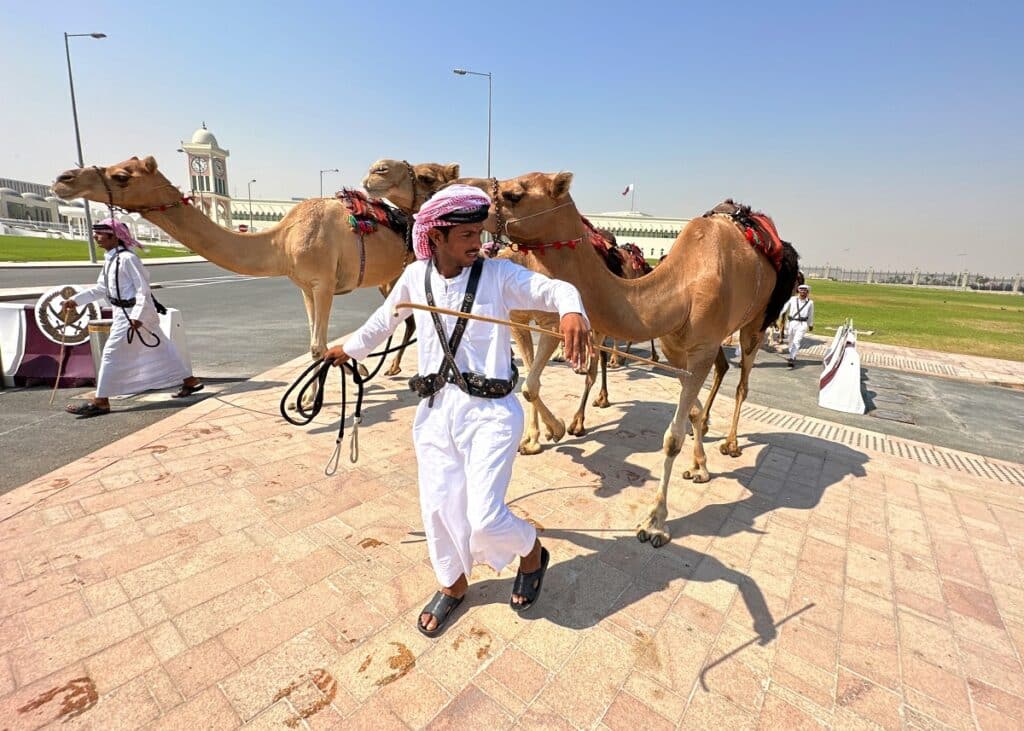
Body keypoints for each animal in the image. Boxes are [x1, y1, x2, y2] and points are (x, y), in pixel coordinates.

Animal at [50, 153, 419, 401]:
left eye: (122, 175)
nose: (64, 179)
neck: (282, 240)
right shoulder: (305, 286)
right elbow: (317, 344)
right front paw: (317, 392)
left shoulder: (323, 283)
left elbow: (318, 345)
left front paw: (311, 397)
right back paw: (389, 368)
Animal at [479, 172, 798, 548]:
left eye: (514, 194)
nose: (468, 199)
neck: (680, 288)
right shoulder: (677, 348)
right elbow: (687, 412)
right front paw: (699, 464)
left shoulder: (701, 347)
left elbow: (672, 437)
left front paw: (655, 522)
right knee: (719, 375)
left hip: (756, 322)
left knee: (743, 381)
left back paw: (731, 443)